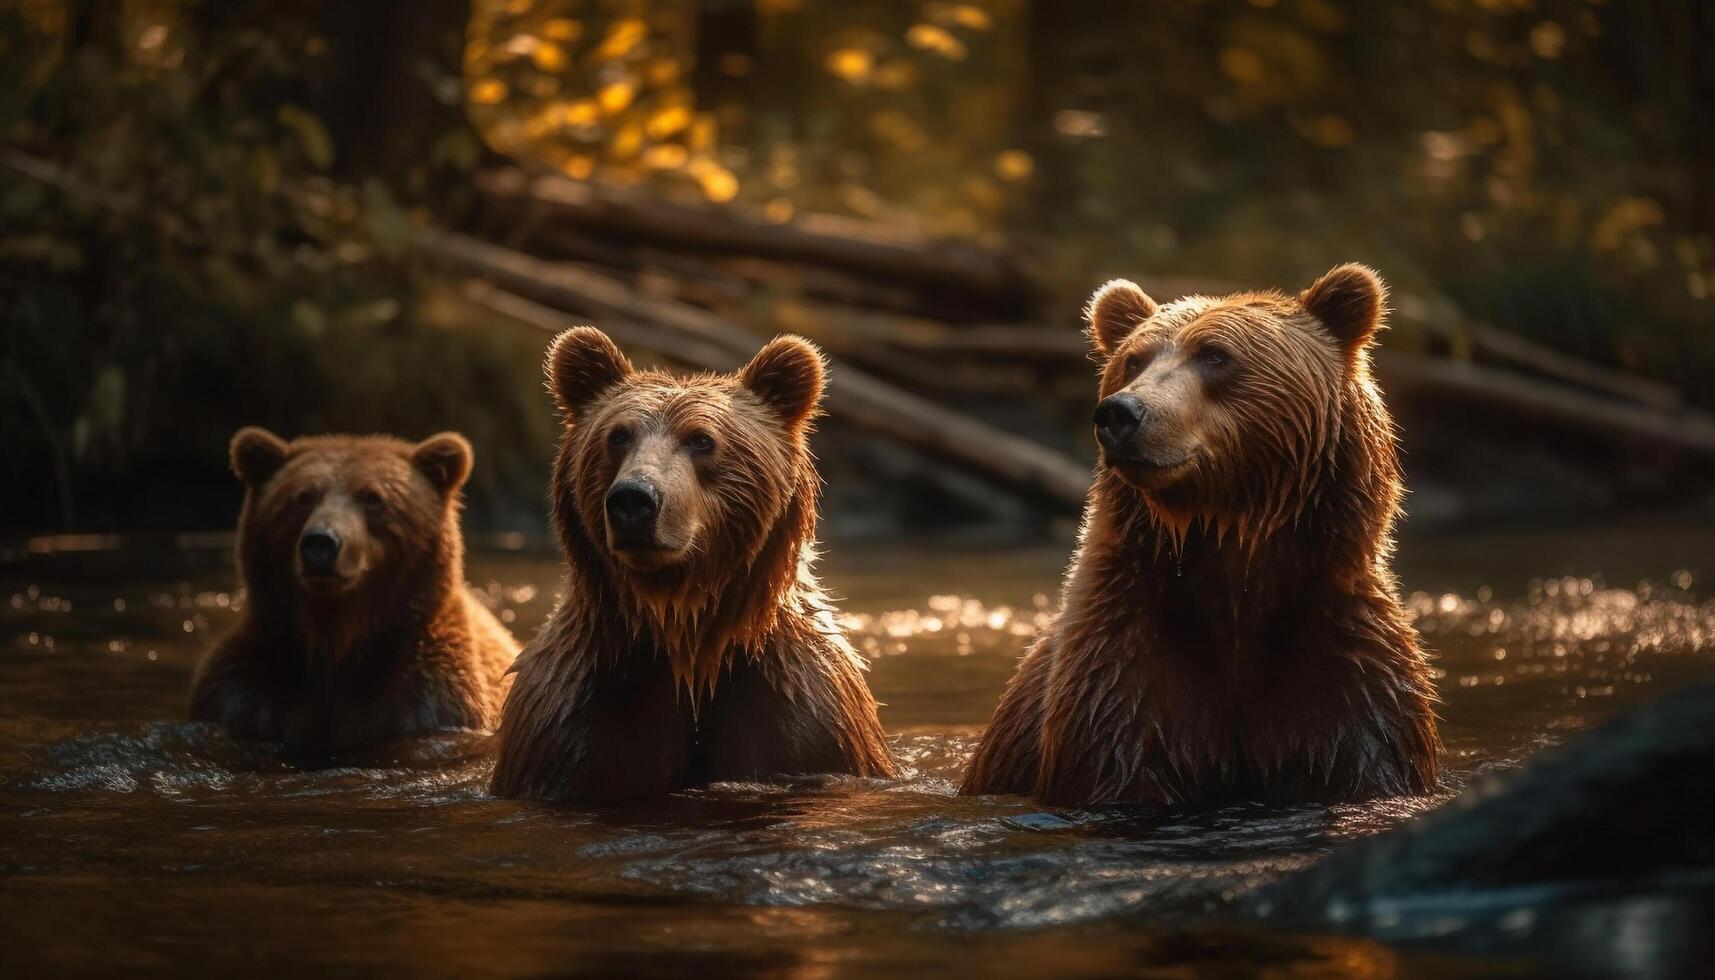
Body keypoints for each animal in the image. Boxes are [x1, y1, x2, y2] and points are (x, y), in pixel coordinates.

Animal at [490, 329, 898, 806]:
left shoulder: (802, 718)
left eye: (701, 439)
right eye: (617, 435)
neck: (684, 635)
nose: (633, 500)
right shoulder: (574, 721)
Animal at [967, 266, 1433, 806]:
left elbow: (1362, 748)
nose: (1121, 413)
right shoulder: (1119, 664)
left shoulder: (1346, 662)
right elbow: (1119, 751)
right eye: (1133, 360)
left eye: (1215, 354)